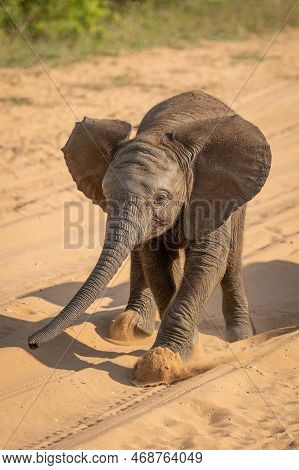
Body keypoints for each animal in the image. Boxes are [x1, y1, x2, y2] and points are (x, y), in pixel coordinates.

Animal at [28, 89, 272, 386]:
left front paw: (161, 365)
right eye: (106, 195)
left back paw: (241, 336)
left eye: (161, 199)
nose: (32, 343)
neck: (161, 134)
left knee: (232, 258)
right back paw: (129, 329)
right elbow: (156, 264)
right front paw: (182, 354)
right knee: (141, 256)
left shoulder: (212, 193)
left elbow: (208, 261)